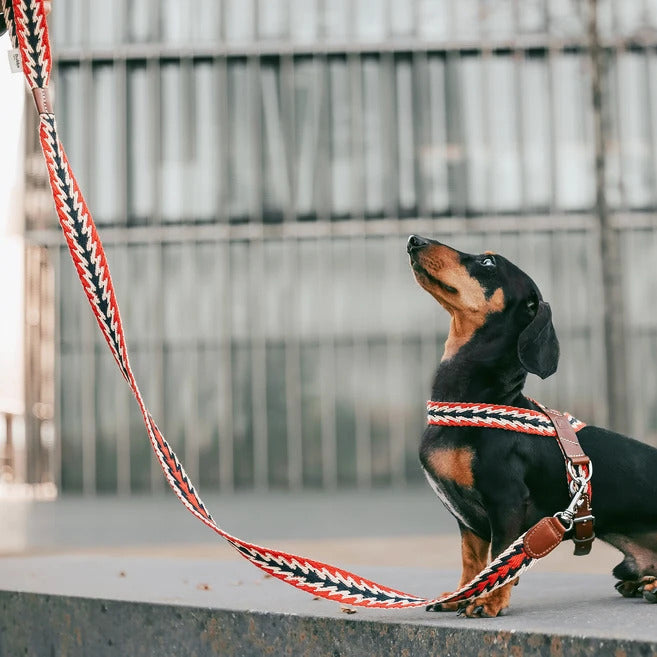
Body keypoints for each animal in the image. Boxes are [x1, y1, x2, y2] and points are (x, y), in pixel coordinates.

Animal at [404, 234, 656, 616]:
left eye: (488, 263)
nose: (414, 240)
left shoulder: (506, 500)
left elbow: (500, 559)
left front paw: (489, 600)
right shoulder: (467, 524)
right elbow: (472, 562)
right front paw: (460, 595)